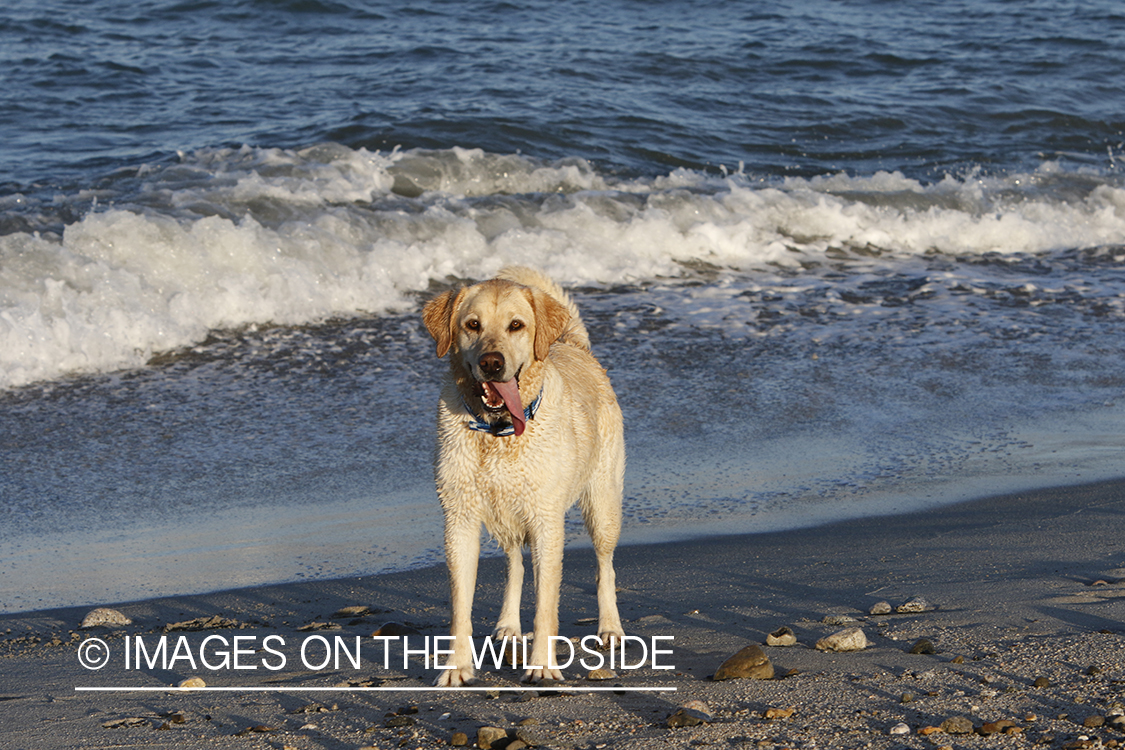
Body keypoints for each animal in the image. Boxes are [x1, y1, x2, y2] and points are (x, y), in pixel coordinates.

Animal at [423, 265, 625, 688]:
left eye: (516, 325)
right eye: (472, 324)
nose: (492, 362)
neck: (498, 431)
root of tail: (573, 346)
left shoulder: (547, 521)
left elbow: (546, 603)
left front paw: (543, 666)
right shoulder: (459, 520)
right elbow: (460, 606)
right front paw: (456, 668)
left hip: (602, 503)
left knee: (605, 565)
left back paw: (610, 627)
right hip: (507, 515)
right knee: (514, 563)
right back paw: (508, 626)